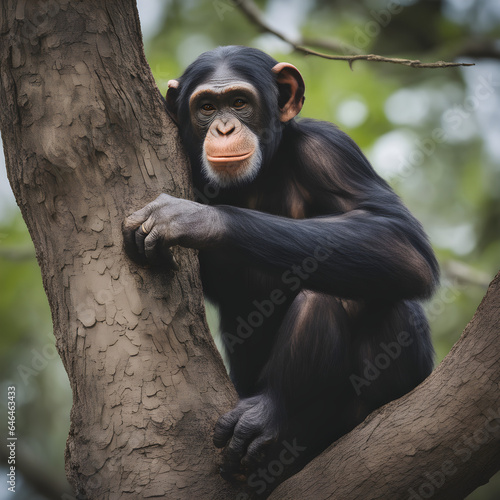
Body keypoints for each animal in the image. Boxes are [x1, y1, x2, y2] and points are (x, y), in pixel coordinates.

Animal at [123, 46, 440, 484]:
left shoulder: (329, 149)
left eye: (240, 102)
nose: (224, 128)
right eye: (207, 107)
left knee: (358, 295)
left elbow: (400, 239)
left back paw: (268, 412)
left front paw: (193, 219)